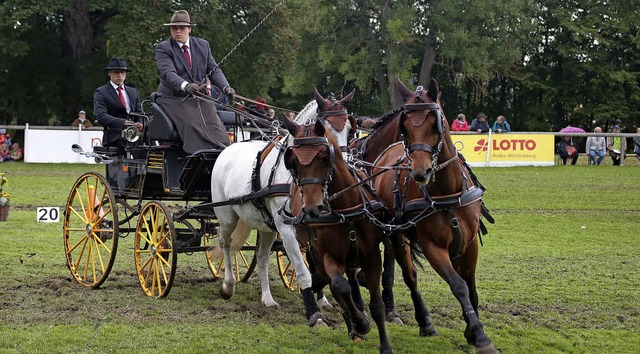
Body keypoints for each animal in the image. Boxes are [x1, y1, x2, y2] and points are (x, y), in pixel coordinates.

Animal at [212, 88, 358, 326]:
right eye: (325, 129)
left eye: (350, 130)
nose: (344, 170)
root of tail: (229, 148)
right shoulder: (286, 227)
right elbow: (303, 271)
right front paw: (315, 313)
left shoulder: (312, 229)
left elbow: (317, 268)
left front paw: (323, 300)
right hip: (227, 216)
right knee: (226, 243)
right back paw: (228, 285)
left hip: (266, 226)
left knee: (261, 257)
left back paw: (267, 299)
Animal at [282, 115, 392, 352]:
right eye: (293, 161)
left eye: (324, 157)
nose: (312, 208)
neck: (345, 208)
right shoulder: (326, 255)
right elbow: (339, 287)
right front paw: (360, 322)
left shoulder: (371, 256)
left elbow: (376, 304)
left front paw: (385, 345)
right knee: (334, 284)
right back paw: (354, 323)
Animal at [370, 78, 500, 354]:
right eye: (404, 126)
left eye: (434, 123)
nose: (420, 171)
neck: (448, 191)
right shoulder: (433, 247)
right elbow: (459, 286)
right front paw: (480, 336)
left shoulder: (470, 244)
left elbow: (471, 286)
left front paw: (471, 330)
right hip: (398, 237)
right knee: (410, 277)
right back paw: (425, 322)